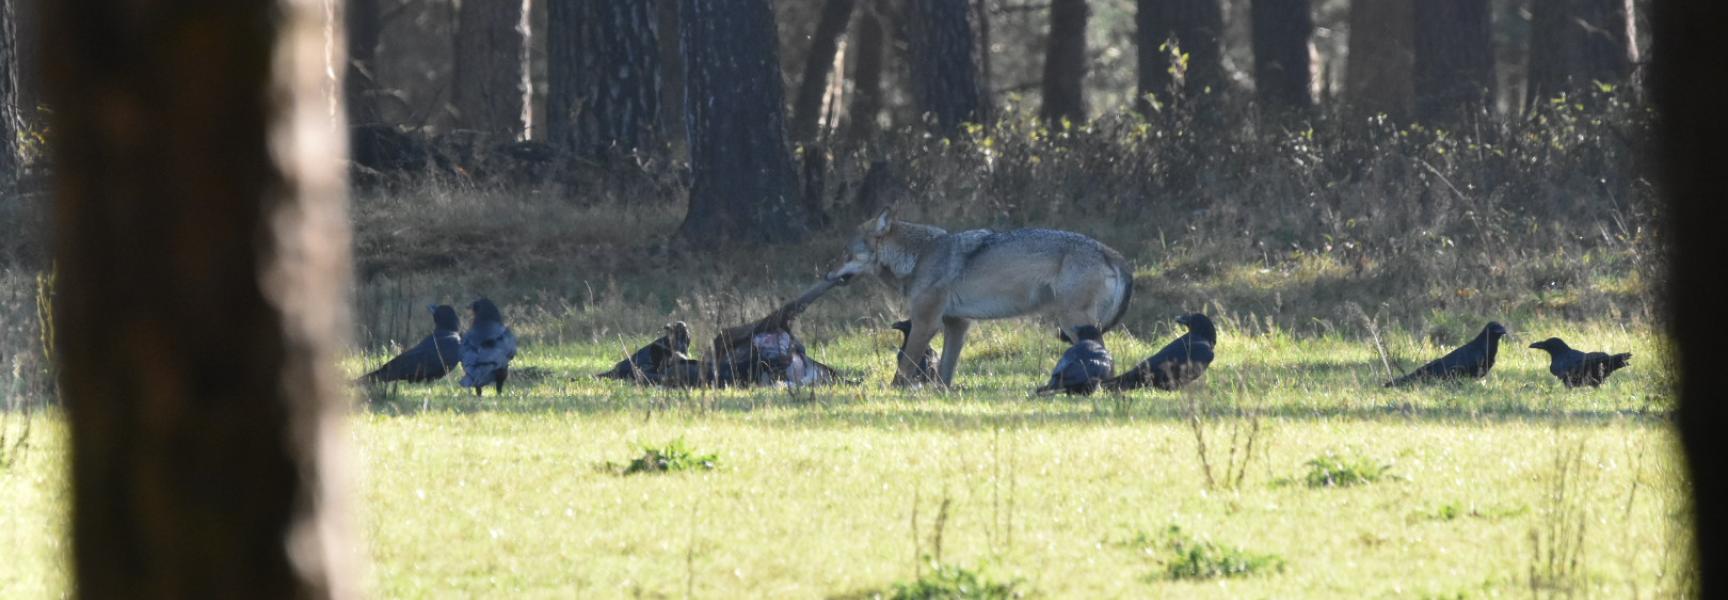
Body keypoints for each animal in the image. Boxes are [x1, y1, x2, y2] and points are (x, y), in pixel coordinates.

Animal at [826, 210, 1134, 386]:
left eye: (845, 252)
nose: (827, 274)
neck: (919, 256)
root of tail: (1110, 252)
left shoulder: (926, 323)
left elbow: (904, 367)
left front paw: (893, 392)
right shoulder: (957, 325)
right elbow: (945, 372)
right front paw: (940, 394)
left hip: (1074, 324)